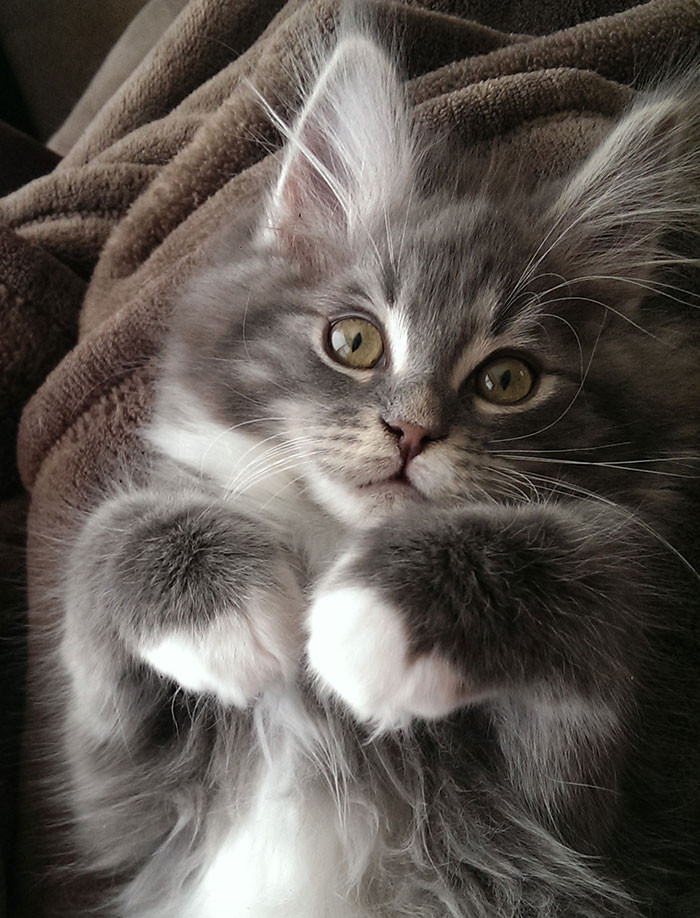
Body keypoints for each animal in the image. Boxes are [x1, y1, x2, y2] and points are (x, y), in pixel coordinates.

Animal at [58, 21, 700, 918]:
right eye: (354, 341)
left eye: (508, 380)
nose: (412, 431)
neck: (336, 540)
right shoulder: (124, 804)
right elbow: (105, 534)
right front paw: (218, 608)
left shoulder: (590, 816)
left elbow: (584, 565)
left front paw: (377, 615)